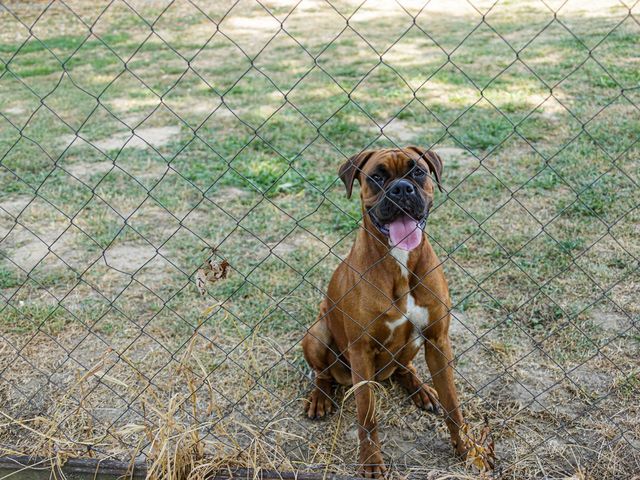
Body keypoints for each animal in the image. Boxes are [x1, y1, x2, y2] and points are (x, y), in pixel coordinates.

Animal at [300, 146, 464, 476]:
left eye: (418, 172)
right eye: (376, 177)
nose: (401, 188)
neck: (399, 259)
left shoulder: (438, 340)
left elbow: (453, 404)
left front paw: (469, 449)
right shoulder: (360, 351)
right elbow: (367, 415)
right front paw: (371, 461)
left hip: (413, 344)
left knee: (404, 367)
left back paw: (420, 388)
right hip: (318, 333)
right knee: (322, 375)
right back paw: (320, 398)